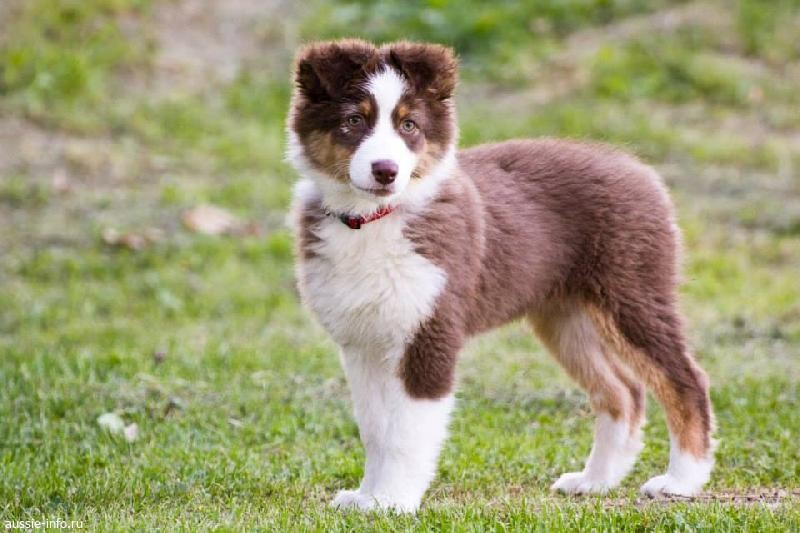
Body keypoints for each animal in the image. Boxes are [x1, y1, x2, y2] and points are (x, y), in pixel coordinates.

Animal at [286, 39, 715, 512]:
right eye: (353, 121)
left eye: (409, 125)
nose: (386, 171)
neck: (373, 219)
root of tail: (637, 165)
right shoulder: (362, 342)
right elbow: (376, 430)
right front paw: (367, 498)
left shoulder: (430, 332)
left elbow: (406, 434)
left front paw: (394, 502)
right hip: (566, 319)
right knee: (623, 393)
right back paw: (594, 480)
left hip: (634, 294)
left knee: (684, 381)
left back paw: (681, 480)